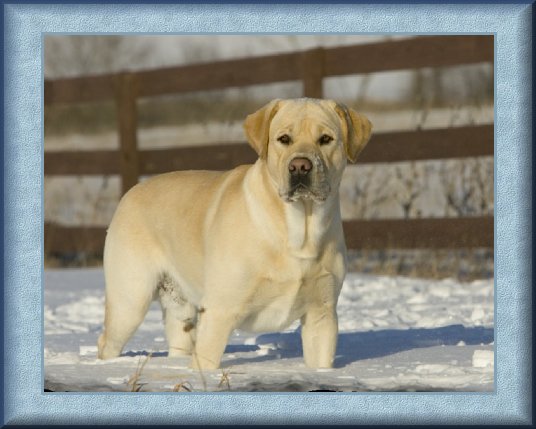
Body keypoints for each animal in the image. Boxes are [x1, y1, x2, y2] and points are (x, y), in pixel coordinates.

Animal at [98, 98, 370, 368]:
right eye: (284, 138)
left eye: (326, 139)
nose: (300, 167)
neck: (300, 230)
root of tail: (130, 192)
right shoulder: (220, 311)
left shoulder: (321, 314)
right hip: (130, 300)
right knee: (107, 341)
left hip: (179, 308)